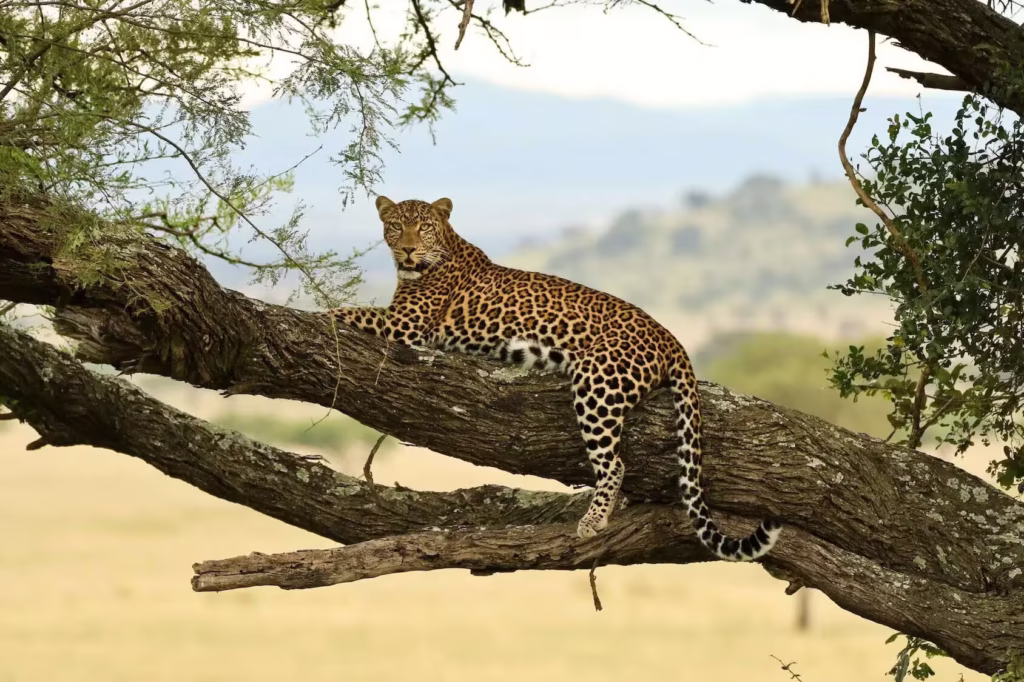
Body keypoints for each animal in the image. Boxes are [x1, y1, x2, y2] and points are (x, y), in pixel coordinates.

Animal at [324, 195, 782, 561]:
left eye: (424, 227)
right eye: (396, 225)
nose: (407, 249)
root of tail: (671, 338)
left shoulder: (407, 325)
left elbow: (346, 311)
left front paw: (316, 314)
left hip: (598, 385)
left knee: (615, 463)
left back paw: (593, 520)